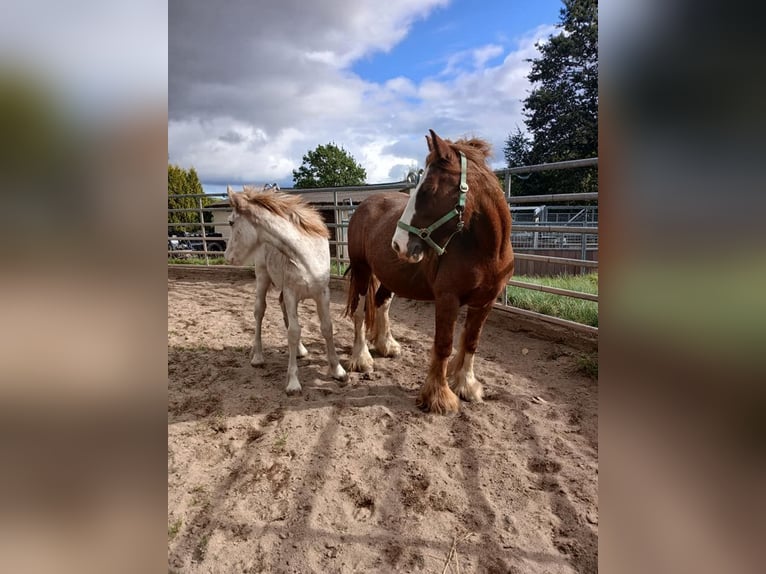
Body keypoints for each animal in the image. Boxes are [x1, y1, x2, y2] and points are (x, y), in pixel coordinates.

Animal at [346, 130, 516, 414]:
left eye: (427, 189)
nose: (399, 244)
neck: (488, 252)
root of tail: (365, 203)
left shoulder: (485, 302)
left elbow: (471, 341)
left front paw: (466, 385)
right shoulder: (447, 299)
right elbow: (444, 345)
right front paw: (438, 396)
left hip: (390, 277)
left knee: (381, 303)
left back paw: (386, 345)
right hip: (361, 269)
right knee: (359, 312)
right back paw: (361, 359)